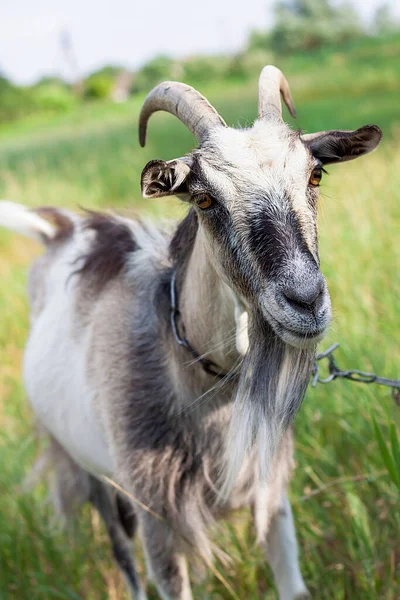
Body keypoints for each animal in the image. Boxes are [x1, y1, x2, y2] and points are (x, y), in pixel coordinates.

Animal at [0, 67, 382, 600]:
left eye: (315, 174)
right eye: (204, 197)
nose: (305, 301)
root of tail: (59, 231)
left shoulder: (270, 491)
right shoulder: (158, 518)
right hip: (88, 470)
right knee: (123, 556)